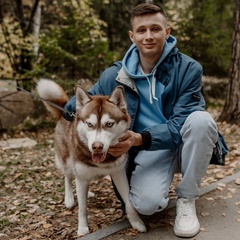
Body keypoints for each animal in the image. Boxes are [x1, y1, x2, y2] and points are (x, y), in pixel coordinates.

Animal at [36, 80, 146, 236]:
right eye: (89, 124)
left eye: (109, 124)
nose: (97, 146)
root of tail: (64, 111)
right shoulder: (81, 176)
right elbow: (82, 208)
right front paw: (82, 228)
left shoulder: (118, 173)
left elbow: (129, 202)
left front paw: (137, 223)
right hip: (68, 161)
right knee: (68, 177)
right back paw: (69, 198)